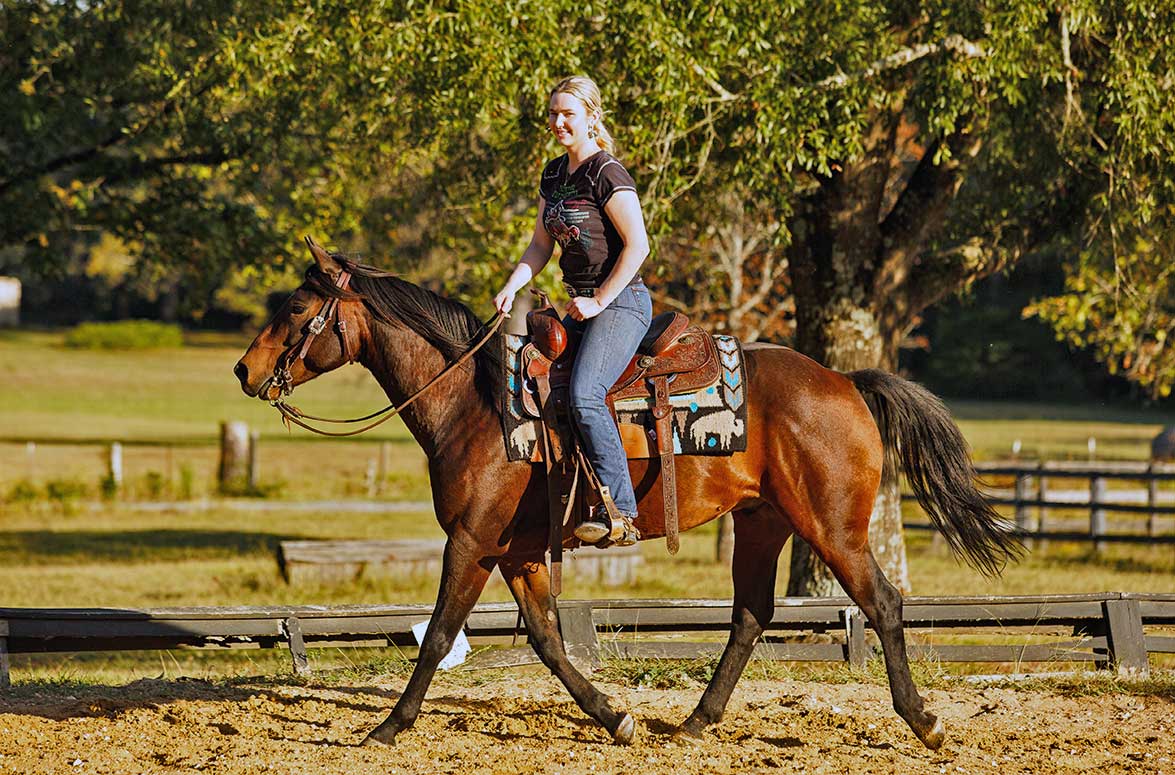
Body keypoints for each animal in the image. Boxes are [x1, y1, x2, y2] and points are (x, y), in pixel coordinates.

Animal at [231, 240, 1019, 751]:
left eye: (296, 306)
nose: (243, 370)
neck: (478, 405)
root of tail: (846, 380)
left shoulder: (471, 543)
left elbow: (439, 637)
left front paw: (388, 726)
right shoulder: (517, 553)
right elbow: (547, 642)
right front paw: (615, 717)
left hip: (833, 527)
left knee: (881, 602)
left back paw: (923, 721)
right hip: (763, 522)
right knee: (750, 614)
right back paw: (696, 720)